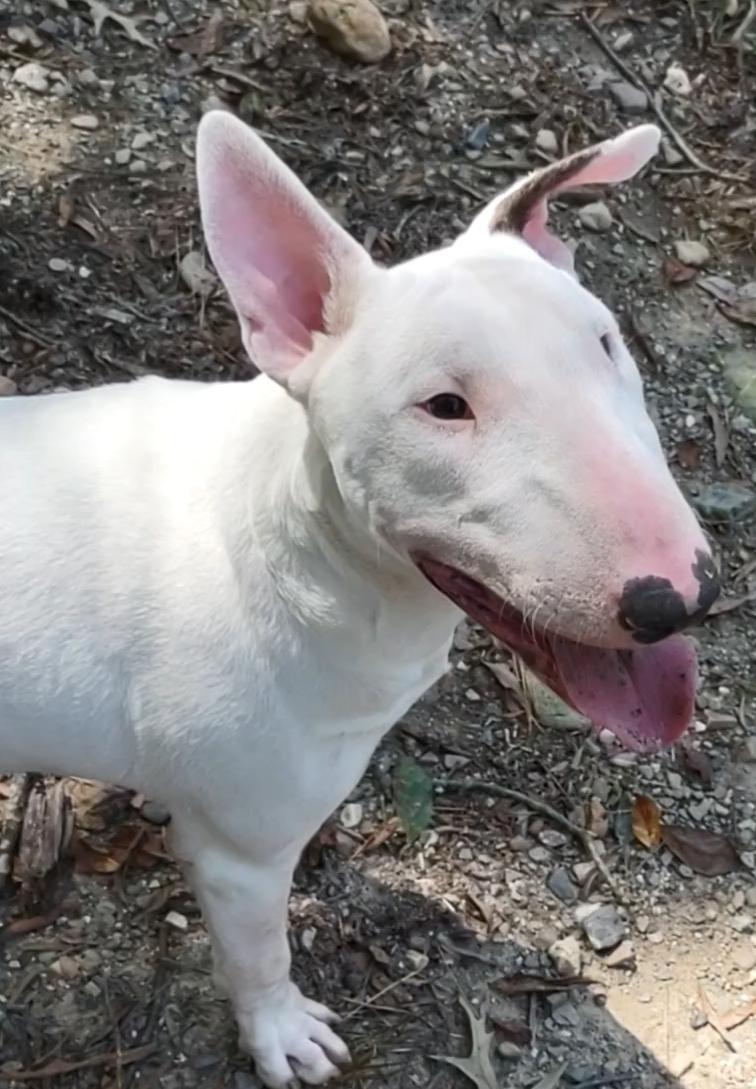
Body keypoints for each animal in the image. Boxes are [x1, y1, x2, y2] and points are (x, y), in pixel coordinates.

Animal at [0, 113, 719, 1086]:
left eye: (605, 343)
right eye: (443, 405)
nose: (679, 597)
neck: (295, 550)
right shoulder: (238, 852)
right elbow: (260, 954)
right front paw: (279, 1033)